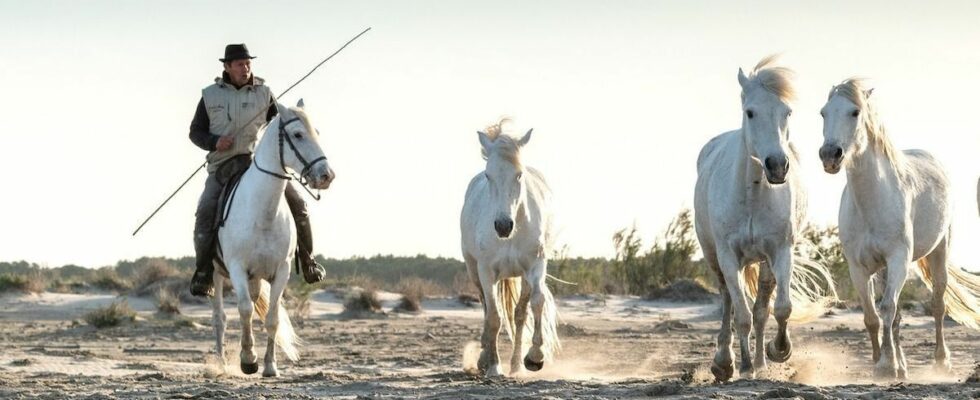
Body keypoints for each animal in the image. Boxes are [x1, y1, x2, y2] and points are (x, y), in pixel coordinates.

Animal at [212, 98, 336, 376]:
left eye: (317, 132)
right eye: (298, 134)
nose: (326, 176)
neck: (264, 213)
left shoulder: (281, 271)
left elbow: (272, 318)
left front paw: (270, 365)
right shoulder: (236, 268)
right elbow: (244, 310)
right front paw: (248, 360)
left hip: (256, 278)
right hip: (216, 273)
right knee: (220, 318)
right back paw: (222, 363)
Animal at [464, 117, 564, 376]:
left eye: (519, 175)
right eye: (488, 175)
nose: (502, 226)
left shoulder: (536, 266)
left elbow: (536, 303)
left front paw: (535, 357)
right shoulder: (486, 271)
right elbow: (493, 317)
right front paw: (493, 365)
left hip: (524, 276)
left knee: (520, 313)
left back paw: (517, 364)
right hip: (473, 270)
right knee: (486, 309)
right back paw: (485, 358)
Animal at [692, 55, 840, 382]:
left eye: (787, 112)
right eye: (750, 112)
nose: (777, 165)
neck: (753, 194)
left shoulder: (780, 251)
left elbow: (779, 308)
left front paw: (778, 350)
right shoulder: (728, 256)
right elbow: (741, 315)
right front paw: (741, 366)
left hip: (764, 263)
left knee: (761, 307)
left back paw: (760, 362)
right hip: (714, 258)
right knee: (727, 302)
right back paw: (725, 362)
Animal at [820, 79, 980, 382]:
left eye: (855, 112)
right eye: (823, 112)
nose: (830, 155)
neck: (872, 202)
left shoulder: (899, 259)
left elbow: (887, 308)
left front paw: (886, 366)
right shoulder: (858, 267)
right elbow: (872, 315)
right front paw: (880, 362)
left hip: (939, 252)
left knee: (938, 304)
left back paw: (941, 362)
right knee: (893, 316)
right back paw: (903, 364)